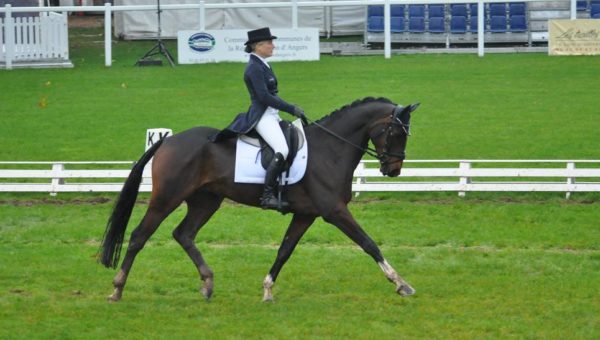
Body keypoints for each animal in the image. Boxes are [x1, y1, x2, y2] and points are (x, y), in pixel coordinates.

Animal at [99, 97, 418, 302]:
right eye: (396, 132)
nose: (394, 170)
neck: (331, 149)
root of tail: (167, 140)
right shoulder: (334, 211)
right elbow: (368, 243)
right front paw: (401, 283)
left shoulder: (306, 214)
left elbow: (284, 251)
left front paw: (267, 289)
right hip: (167, 197)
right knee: (139, 236)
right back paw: (116, 289)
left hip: (206, 201)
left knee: (184, 234)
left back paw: (207, 283)